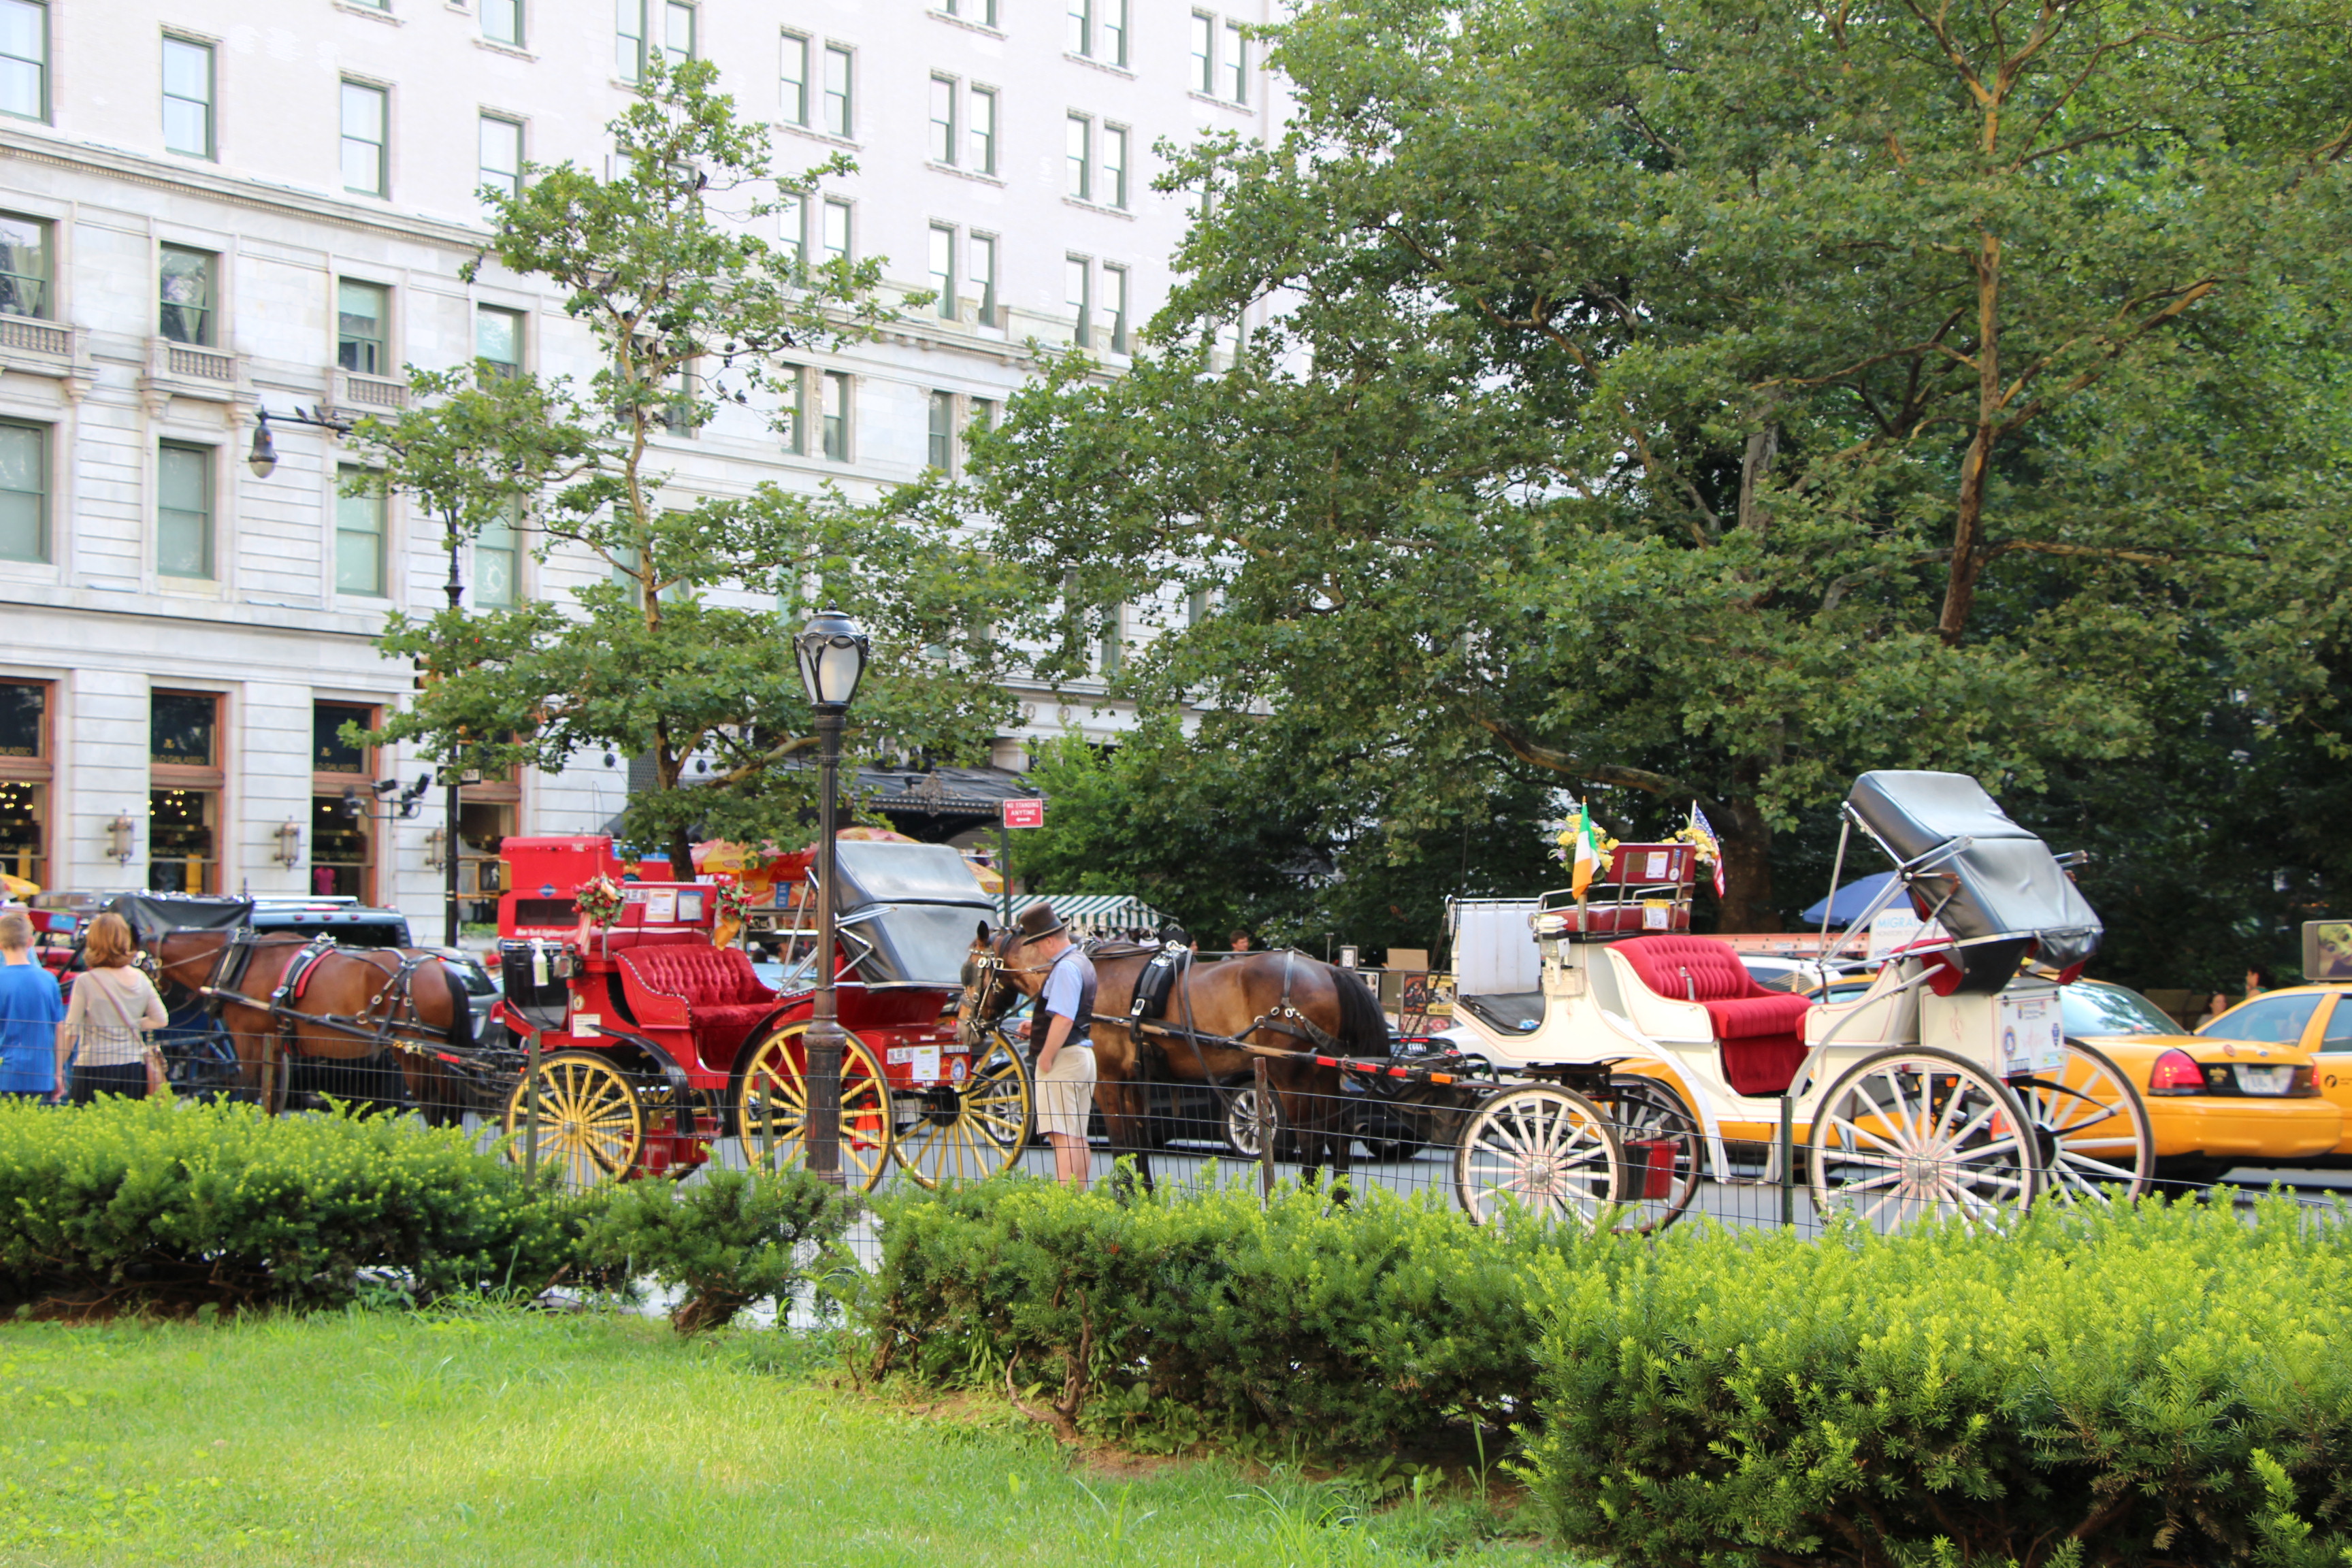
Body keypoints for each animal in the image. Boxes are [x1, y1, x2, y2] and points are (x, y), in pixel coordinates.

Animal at [146, 926, 477, 1124]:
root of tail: (441, 970)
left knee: (434, 1104)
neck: (238, 962)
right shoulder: (275, 1040)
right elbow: (274, 1095)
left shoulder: (247, 1035)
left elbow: (252, 1089)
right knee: (451, 1105)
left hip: (413, 1052)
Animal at [964, 926, 1383, 1184]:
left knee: (1313, 1142)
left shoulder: (1108, 1081)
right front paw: (1143, 1198)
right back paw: (1337, 1206)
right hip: (1324, 1075)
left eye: (970, 968)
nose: (968, 1024)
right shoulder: (1134, 1081)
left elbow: (1122, 1144)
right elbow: (1138, 1144)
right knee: (1339, 1138)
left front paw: (1125, 1200)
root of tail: (1328, 970)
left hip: (1290, 1076)